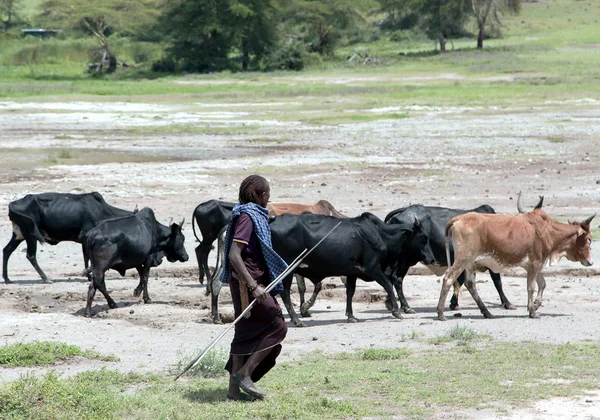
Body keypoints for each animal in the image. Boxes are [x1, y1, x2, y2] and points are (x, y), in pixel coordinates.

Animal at [3, 192, 135, 284]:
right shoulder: (85, 237)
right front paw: (90, 275)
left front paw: (88, 276)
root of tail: (13, 204)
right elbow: (89, 257)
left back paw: (7, 278)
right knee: (30, 255)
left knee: (7, 250)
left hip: (19, 234)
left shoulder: (85, 241)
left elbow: (86, 257)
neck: (102, 210)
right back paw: (46, 279)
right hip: (31, 235)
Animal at [384, 205, 516, 314]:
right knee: (397, 279)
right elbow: (497, 281)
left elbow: (460, 280)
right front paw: (507, 303)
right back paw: (406, 307)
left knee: (392, 278)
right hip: (405, 260)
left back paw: (392, 304)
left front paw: (454, 303)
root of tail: (404, 211)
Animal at [436, 202, 596, 320]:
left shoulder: (536, 264)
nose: (590, 261)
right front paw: (532, 311)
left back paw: (487, 312)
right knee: (448, 279)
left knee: (470, 284)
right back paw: (441, 313)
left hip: (470, 263)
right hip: (463, 259)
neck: (548, 231)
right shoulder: (534, 263)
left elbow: (542, 284)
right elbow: (531, 287)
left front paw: (536, 304)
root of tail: (458, 219)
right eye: (588, 239)